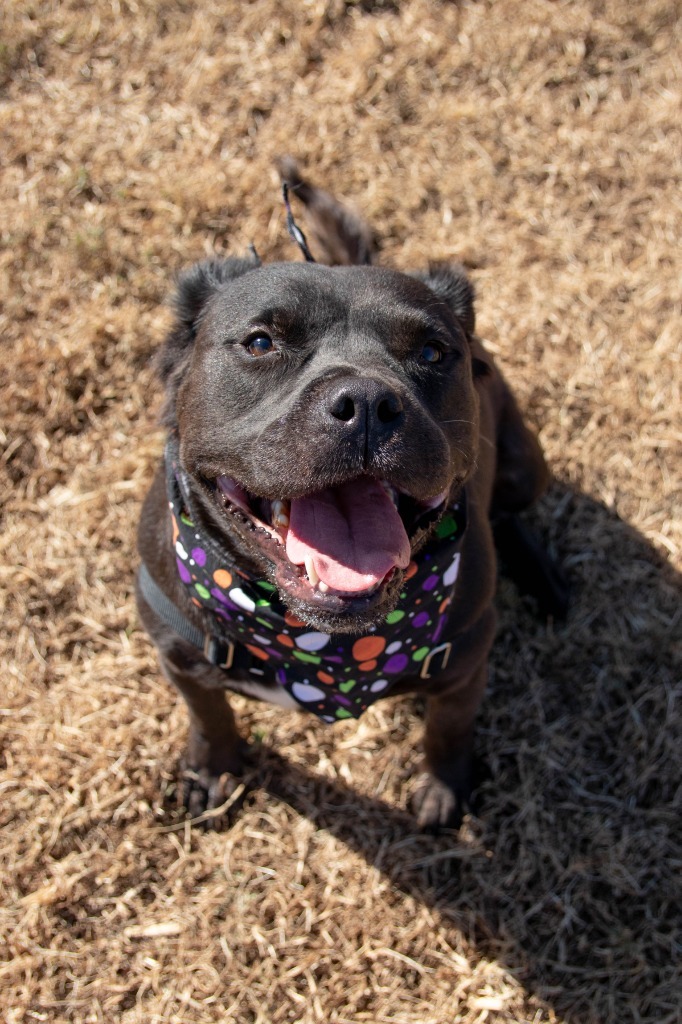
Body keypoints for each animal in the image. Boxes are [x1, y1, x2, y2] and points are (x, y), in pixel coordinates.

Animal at [135, 161, 565, 831]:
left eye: (432, 351)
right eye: (261, 343)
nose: (366, 402)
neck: (321, 643)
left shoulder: (467, 661)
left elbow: (450, 728)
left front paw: (445, 788)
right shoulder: (178, 654)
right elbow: (209, 713)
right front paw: (214, 767)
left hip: (525, 463)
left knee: (513, 512)